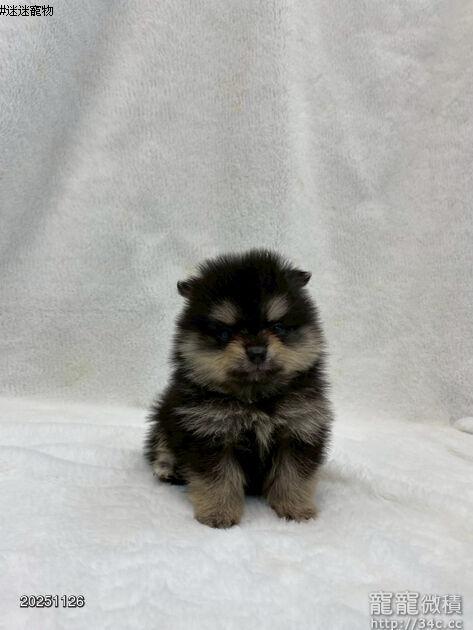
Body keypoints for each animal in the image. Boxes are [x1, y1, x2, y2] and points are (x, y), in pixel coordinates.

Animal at [145, 249, 333, 528]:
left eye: (277, 327)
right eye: (225, 333)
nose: (256, 351)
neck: (255, 398)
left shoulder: (299, 428)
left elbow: (293, 476)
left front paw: (295, 509)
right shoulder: (210, 432)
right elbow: (218, 479)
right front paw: (218, 513)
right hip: (164, 414)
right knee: (161, 443)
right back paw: (167, 468)